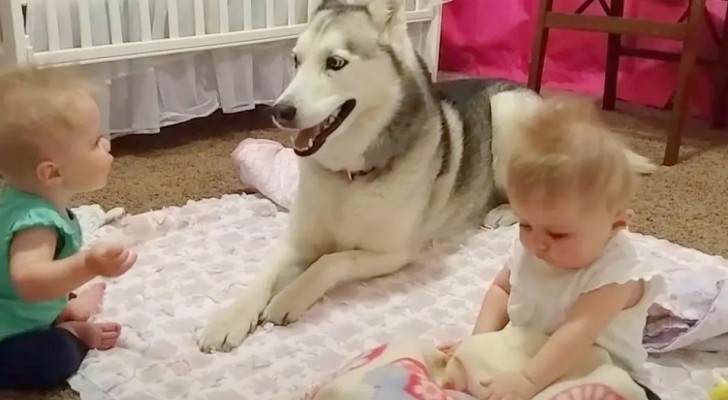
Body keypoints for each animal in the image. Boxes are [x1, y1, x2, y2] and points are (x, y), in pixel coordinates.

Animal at [196, 0, 656, 352]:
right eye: (295, 60)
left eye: (335, 63)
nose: (280, 111)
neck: (350, 175)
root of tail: (527, 90)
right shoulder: (297, 240)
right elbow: (264, 273)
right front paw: (230, 318)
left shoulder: (393, 253)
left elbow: (331, 261)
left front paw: (290, 295)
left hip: (509, 114)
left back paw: (505, 212)